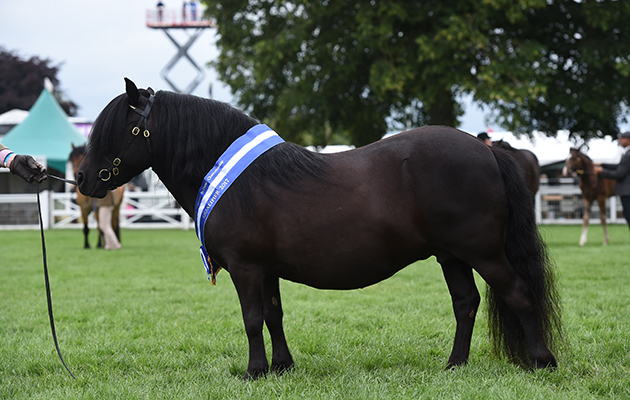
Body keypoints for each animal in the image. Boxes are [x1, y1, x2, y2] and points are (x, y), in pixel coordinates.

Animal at [76, 79, 564, 380]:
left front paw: (254, 372)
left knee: (518, 293)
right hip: (452, 256)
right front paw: (282, 367)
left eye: (124, 128)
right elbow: (273, 315)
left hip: (483, 252)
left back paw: (542, 361)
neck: (238, 179)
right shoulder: (266, 269)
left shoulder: (246, 267)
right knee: (466, 304)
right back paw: (454, 366)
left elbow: (251, 318)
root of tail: (488, 151)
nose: (81, 179)